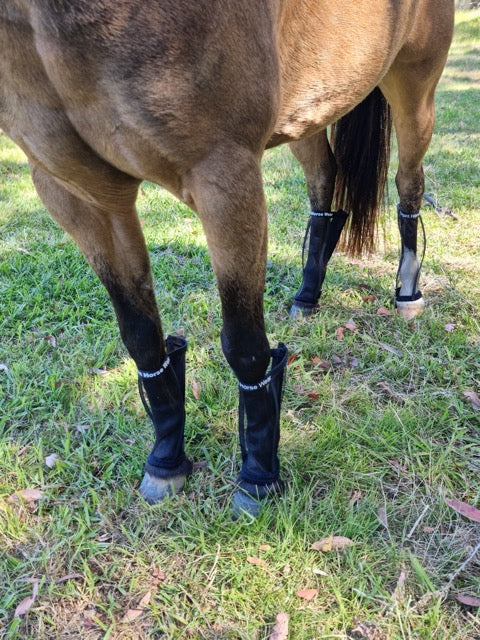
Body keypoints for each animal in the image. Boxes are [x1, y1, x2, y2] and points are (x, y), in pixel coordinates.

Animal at [0, 0, 454, 516]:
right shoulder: (80, 196)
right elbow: (142, 338)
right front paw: (166, 460)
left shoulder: (223, 175)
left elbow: (245, 345)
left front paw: (258, 475)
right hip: (310, 108)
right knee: (324, 185)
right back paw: (308, 294)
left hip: (413, 90)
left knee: (408, 185)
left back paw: (407, 294)